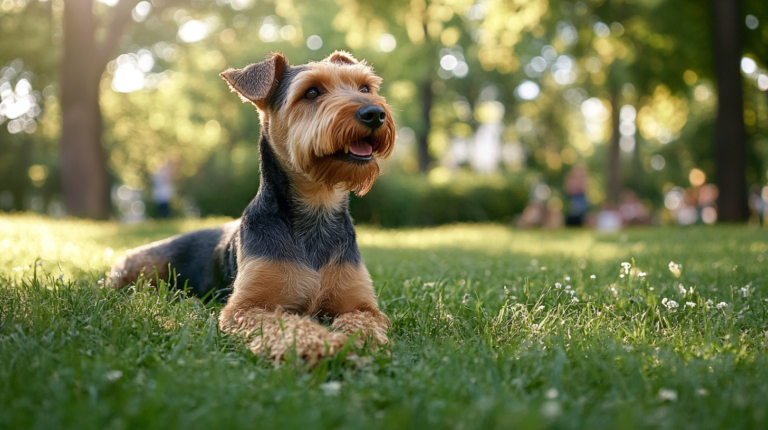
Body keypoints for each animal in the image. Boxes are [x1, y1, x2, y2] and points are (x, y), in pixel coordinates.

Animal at [111, 51, 396, 362]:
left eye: (365, 88)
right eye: (311, 92)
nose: (374, 113)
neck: (316, 209)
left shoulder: (361, 305)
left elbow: (361, 322)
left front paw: (358, 344)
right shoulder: (248, 307)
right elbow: (288, 324)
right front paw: (321, 344)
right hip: (140, 269)